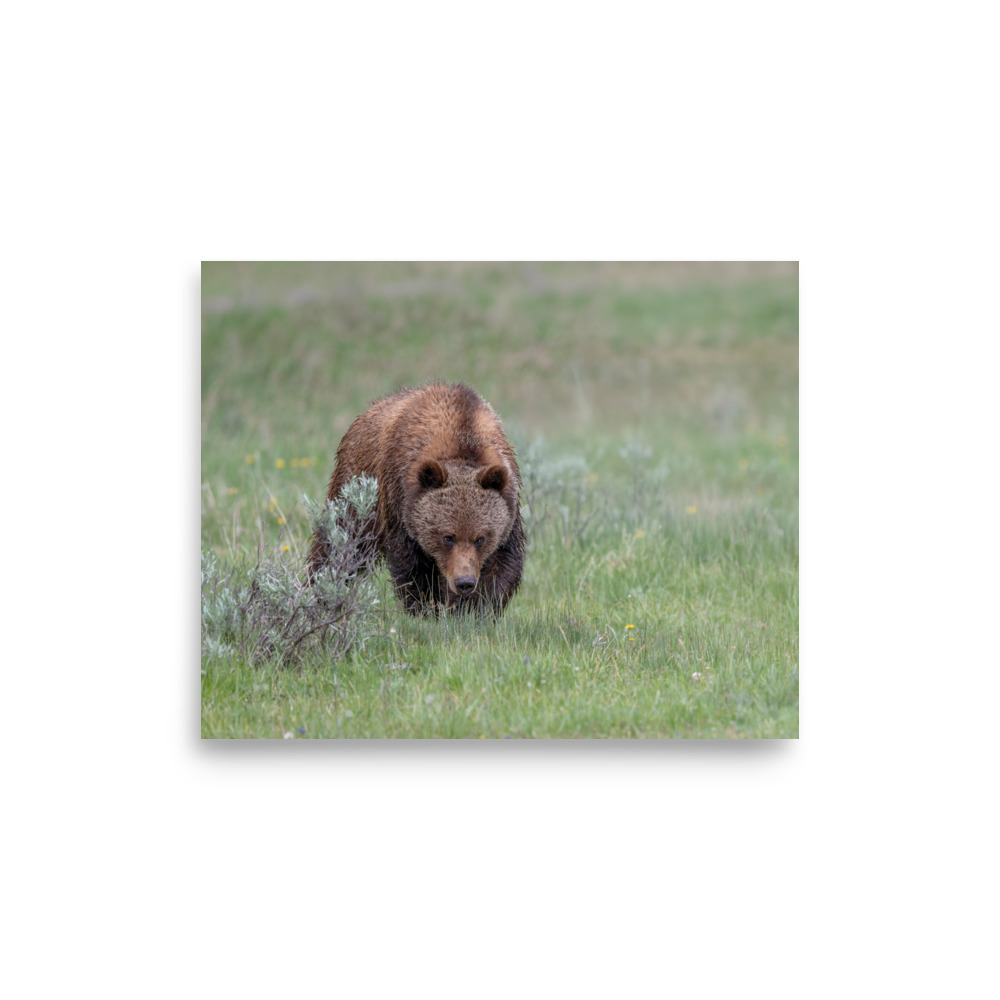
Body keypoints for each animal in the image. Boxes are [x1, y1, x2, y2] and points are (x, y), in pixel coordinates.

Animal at [307, 382, 525, 617]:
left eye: (480, 538)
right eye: (447, 537)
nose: (464, 582)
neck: (463, 440)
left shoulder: (508, 507)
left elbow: (501, 565)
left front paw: (472, 610)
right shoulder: (400, 501)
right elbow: (412, 566)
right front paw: (425, 609)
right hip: (357, 487)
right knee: (340, 541)